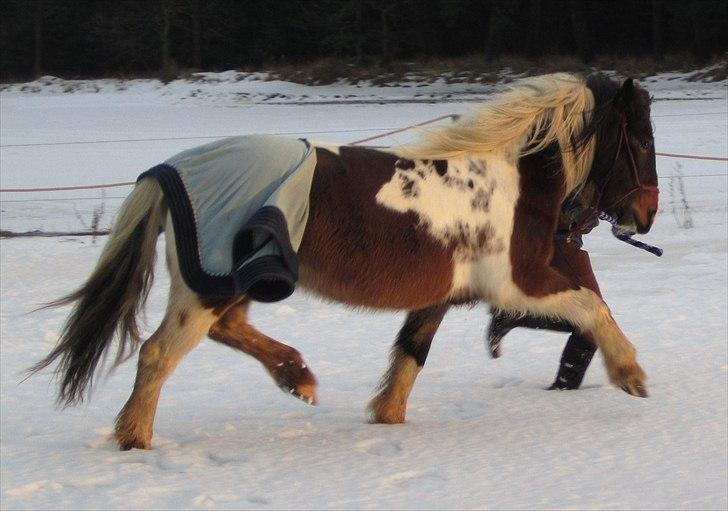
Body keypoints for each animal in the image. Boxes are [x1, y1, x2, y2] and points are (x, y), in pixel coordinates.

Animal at [31, 74, 660, 450]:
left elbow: (411, 352)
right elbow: (590, 305)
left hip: (233, 281)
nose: (647, 214)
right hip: (206, 286)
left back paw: (298, 378)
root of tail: (173, 168)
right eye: (641, 142)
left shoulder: (441, 296)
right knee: (159, 353)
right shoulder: (518, 284)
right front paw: (630, 374)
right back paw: (135, 439)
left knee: (226, 330)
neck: (512, 184)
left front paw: (387, 417)